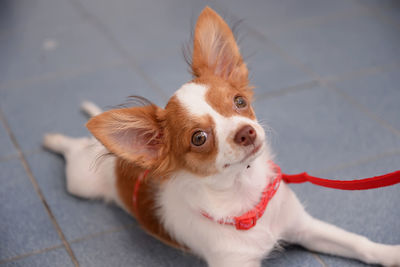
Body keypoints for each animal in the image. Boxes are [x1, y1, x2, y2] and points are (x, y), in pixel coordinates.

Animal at [42, 6, 398, 267]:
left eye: (239, 102)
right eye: (199, 138)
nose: (246, 132)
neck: (243, 195)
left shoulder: (305, 227)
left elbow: (359, 243)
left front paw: (391, 254)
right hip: (81, 182)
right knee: (71, 149)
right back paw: (53, 139)